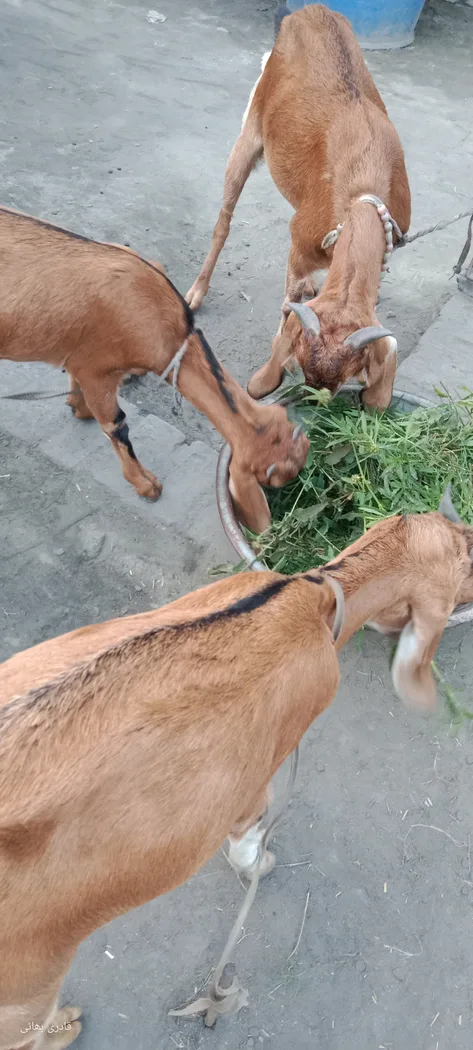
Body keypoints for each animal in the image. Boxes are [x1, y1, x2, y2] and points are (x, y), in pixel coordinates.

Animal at [0, 206, 309, 533]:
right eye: (274, 478)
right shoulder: (96, 369)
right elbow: (117, 426)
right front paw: (146, 485)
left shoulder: (82, 357)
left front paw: (76, 406)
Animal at [1, 492, 472, 1048]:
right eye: (468, 564)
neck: (315, 599)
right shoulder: (256, 774)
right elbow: (251, 834)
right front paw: (258, 866)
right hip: (25, 990)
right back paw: (67, 1026)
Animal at [186, 4, 411, 410]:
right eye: (305, 369)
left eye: (341, 380)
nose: (311, 400)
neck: (364, 192)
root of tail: (312, 9)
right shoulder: (301, 240)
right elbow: (287, 302)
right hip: (251, 128)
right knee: (224, 219)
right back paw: (196, 293)